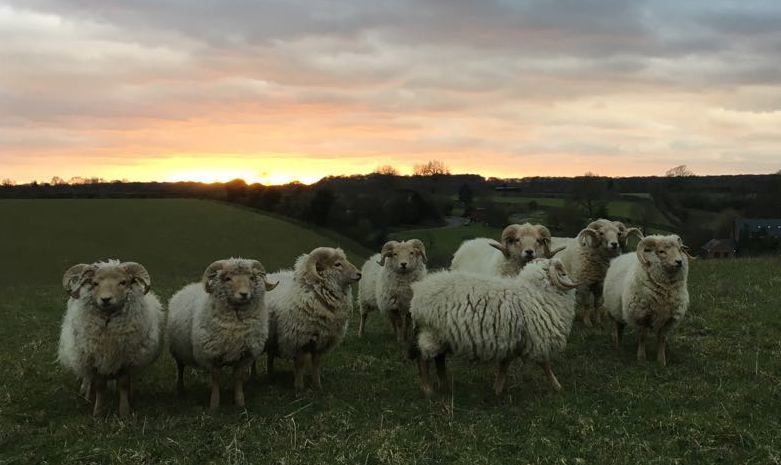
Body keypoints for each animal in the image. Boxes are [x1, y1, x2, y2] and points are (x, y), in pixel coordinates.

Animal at [58, 260, 163, 417]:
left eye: (123, 282)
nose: (106, 299)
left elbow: (123, 384)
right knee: (88, 377)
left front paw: (124, 411)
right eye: (95, 283)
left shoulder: (126, 358)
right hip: (83, 354)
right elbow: (99, 386)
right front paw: (98, 413)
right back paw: (87, 394)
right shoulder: (96, 359)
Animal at [167, 258, 277, 410]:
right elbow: (215, 379)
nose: (244, 294)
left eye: (251, 277)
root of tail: (185, 288)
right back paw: (180, 390)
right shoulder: (212, 354)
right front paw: (214, 405)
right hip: (178, 350)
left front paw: (240, 402)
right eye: (227, 278)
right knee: (180, 369)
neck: (236, 324)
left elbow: (238, 378)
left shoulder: (245, 355)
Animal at [264, 247, 361, 393]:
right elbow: (300, 364)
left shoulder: (321, 341)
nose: (359, 274)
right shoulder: (299, 339)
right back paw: (269, 377)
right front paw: (299, 387)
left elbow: (316, 364)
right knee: (269, 357)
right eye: (337, 264)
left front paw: (317, 386)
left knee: (270, 355)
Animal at [408, 258, 579, 397]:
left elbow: (504, 366)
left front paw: (497, 390)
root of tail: (418, 292)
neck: (536, 292)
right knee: (423, 358)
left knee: (439, 358)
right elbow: (545, 364)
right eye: (563, 272)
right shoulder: (537, 339)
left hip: (441, 335)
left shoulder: (512, 341)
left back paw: (445, 386)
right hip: (431, 332)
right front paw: (557, 387)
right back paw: (428, 390)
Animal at [603, 235, 690, 366]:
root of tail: (621, 256)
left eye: (680, 249)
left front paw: (661, 361)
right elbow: (642, 337)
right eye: (661, 251)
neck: (665, 292)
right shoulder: (642, 315)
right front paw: (641, 359)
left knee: (621, 327)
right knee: (617, 327)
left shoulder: (668, 320)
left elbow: (662, 339)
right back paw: (617, 347)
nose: (679, 262)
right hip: (613, 309)